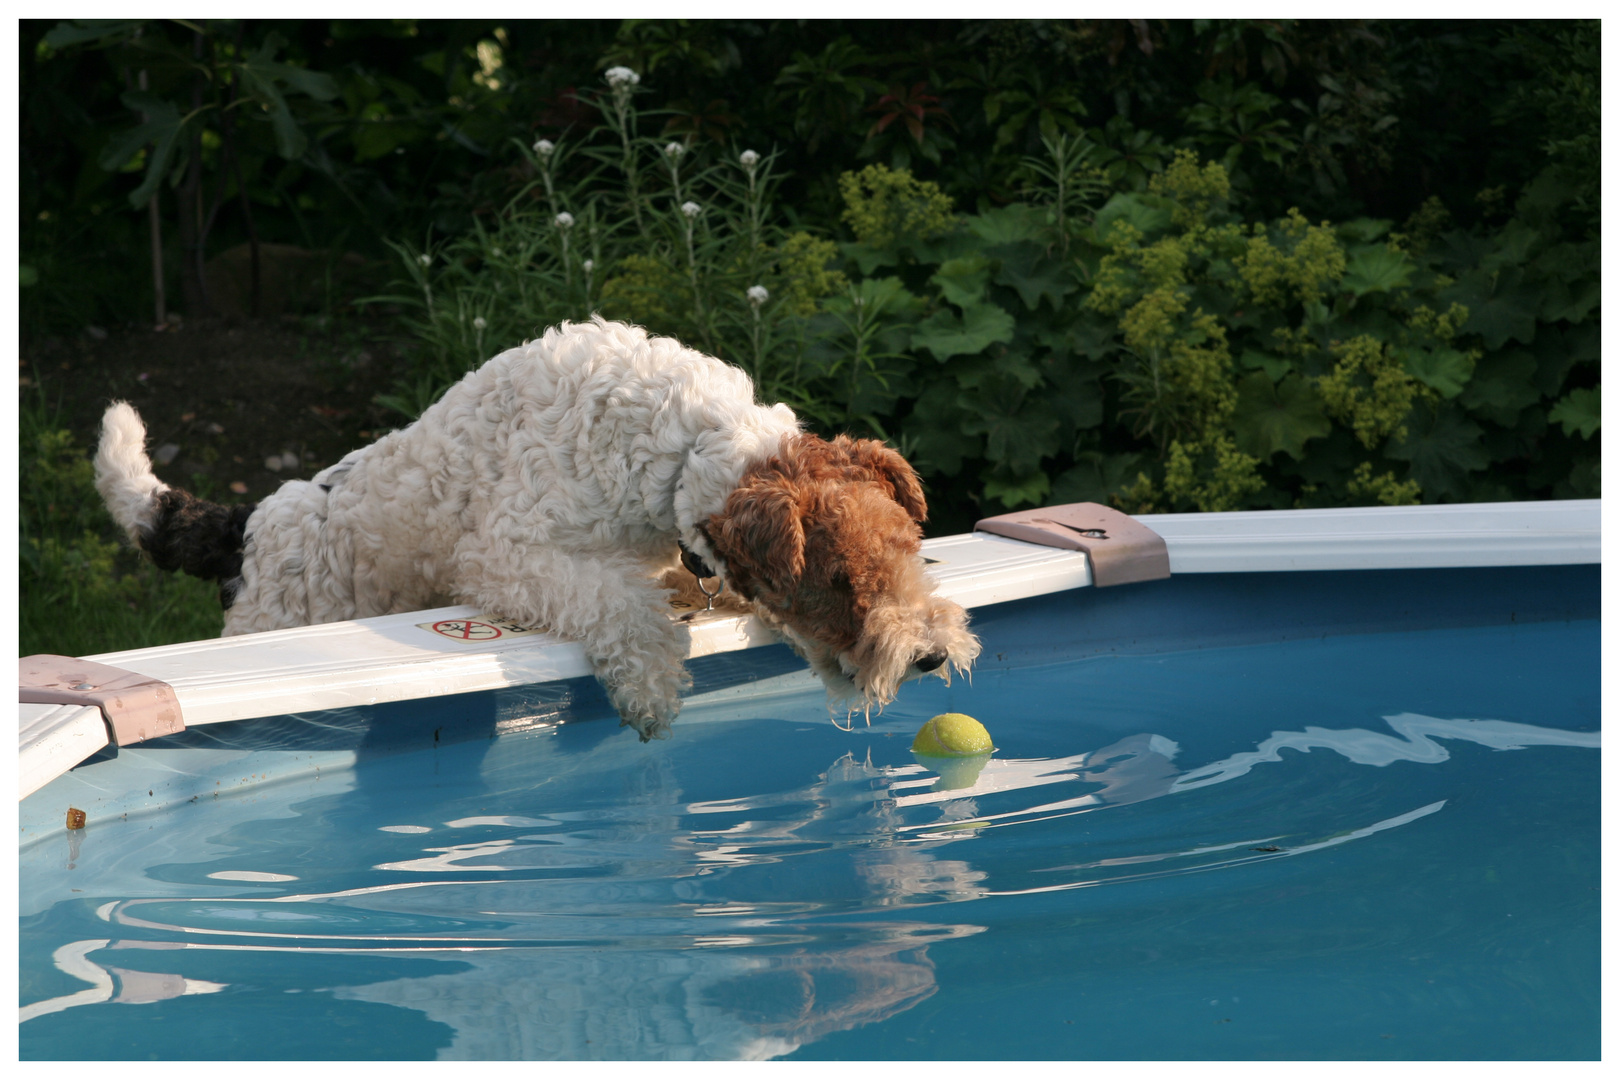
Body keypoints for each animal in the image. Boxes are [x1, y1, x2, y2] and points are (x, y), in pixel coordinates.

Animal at [94, 317, 978, 738]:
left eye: (909, 548)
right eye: (838, 579)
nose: (931, 656)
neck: (679, 446)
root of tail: (246, 525)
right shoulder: (512, 555)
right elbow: (624, 609)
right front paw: (651, 693)